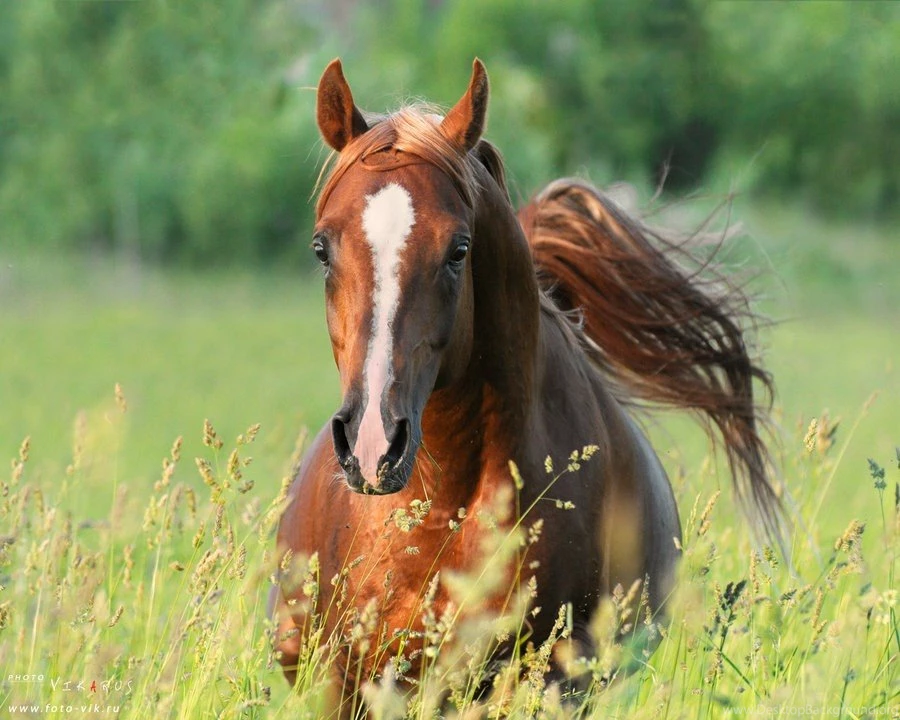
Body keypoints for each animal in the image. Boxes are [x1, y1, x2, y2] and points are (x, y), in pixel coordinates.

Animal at [270, 58, 780, 716]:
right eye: (321, 248)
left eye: (458, 249)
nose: (373, 446)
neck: (443, 512)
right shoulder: (349, 687)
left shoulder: (548, 681)